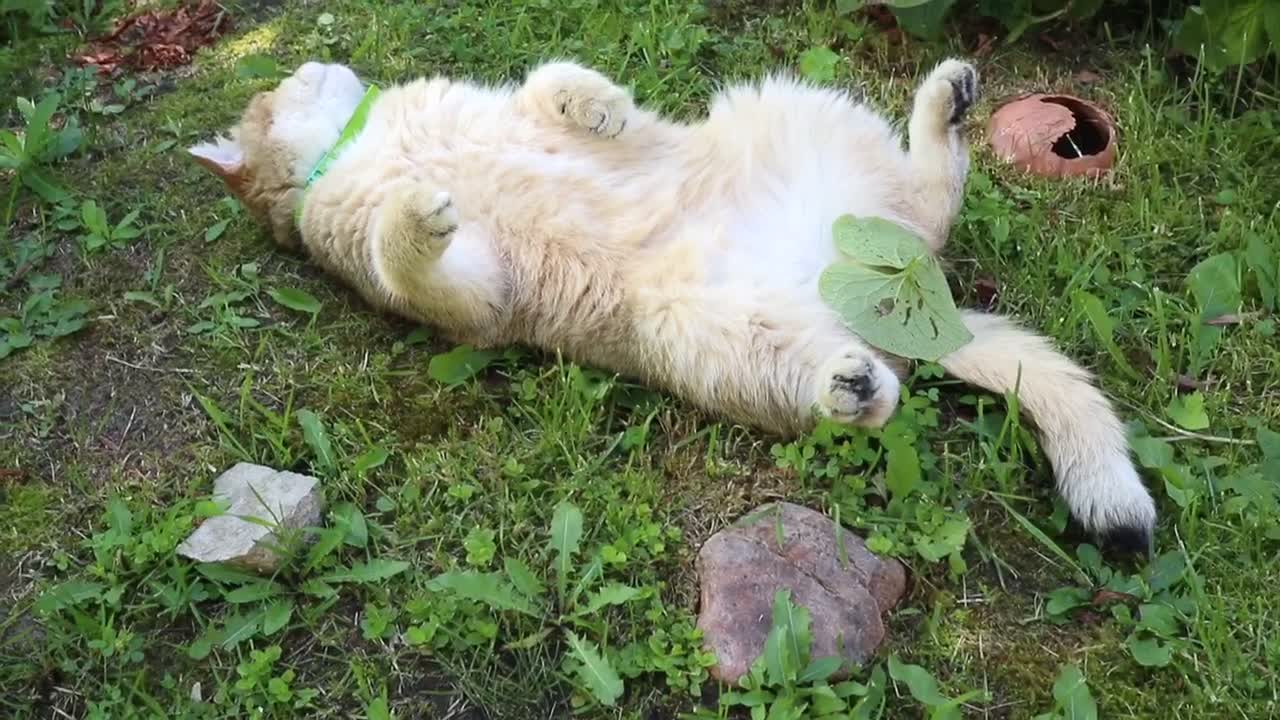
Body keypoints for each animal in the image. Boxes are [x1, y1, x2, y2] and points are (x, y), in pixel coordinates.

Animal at [189, 58, 1162, 550]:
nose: (317, 55)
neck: (364, 144)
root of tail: (891, 306)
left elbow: (548, 76)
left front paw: (597, 105)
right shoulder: (473, 297)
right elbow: (410, 256)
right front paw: (411, 210)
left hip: (796, 115)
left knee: (932, 202)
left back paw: (944, 104)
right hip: (694, 333)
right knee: (880, 375)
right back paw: (851, 388)